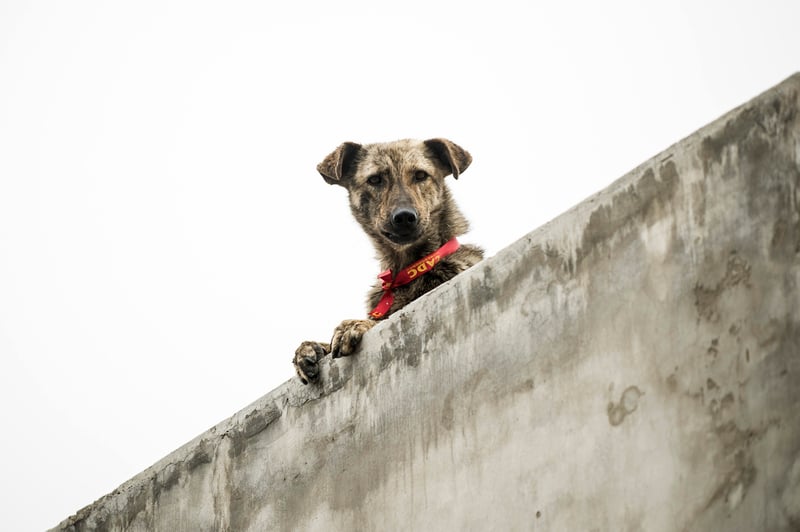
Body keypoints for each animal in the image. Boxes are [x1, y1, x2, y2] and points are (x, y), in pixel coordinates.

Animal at [292, 139, 482, 384]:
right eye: (375, 179)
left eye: (421, 175)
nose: (405, 217)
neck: (405, 272)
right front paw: (310, 348)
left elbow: (376, 322)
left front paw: (355, 324)